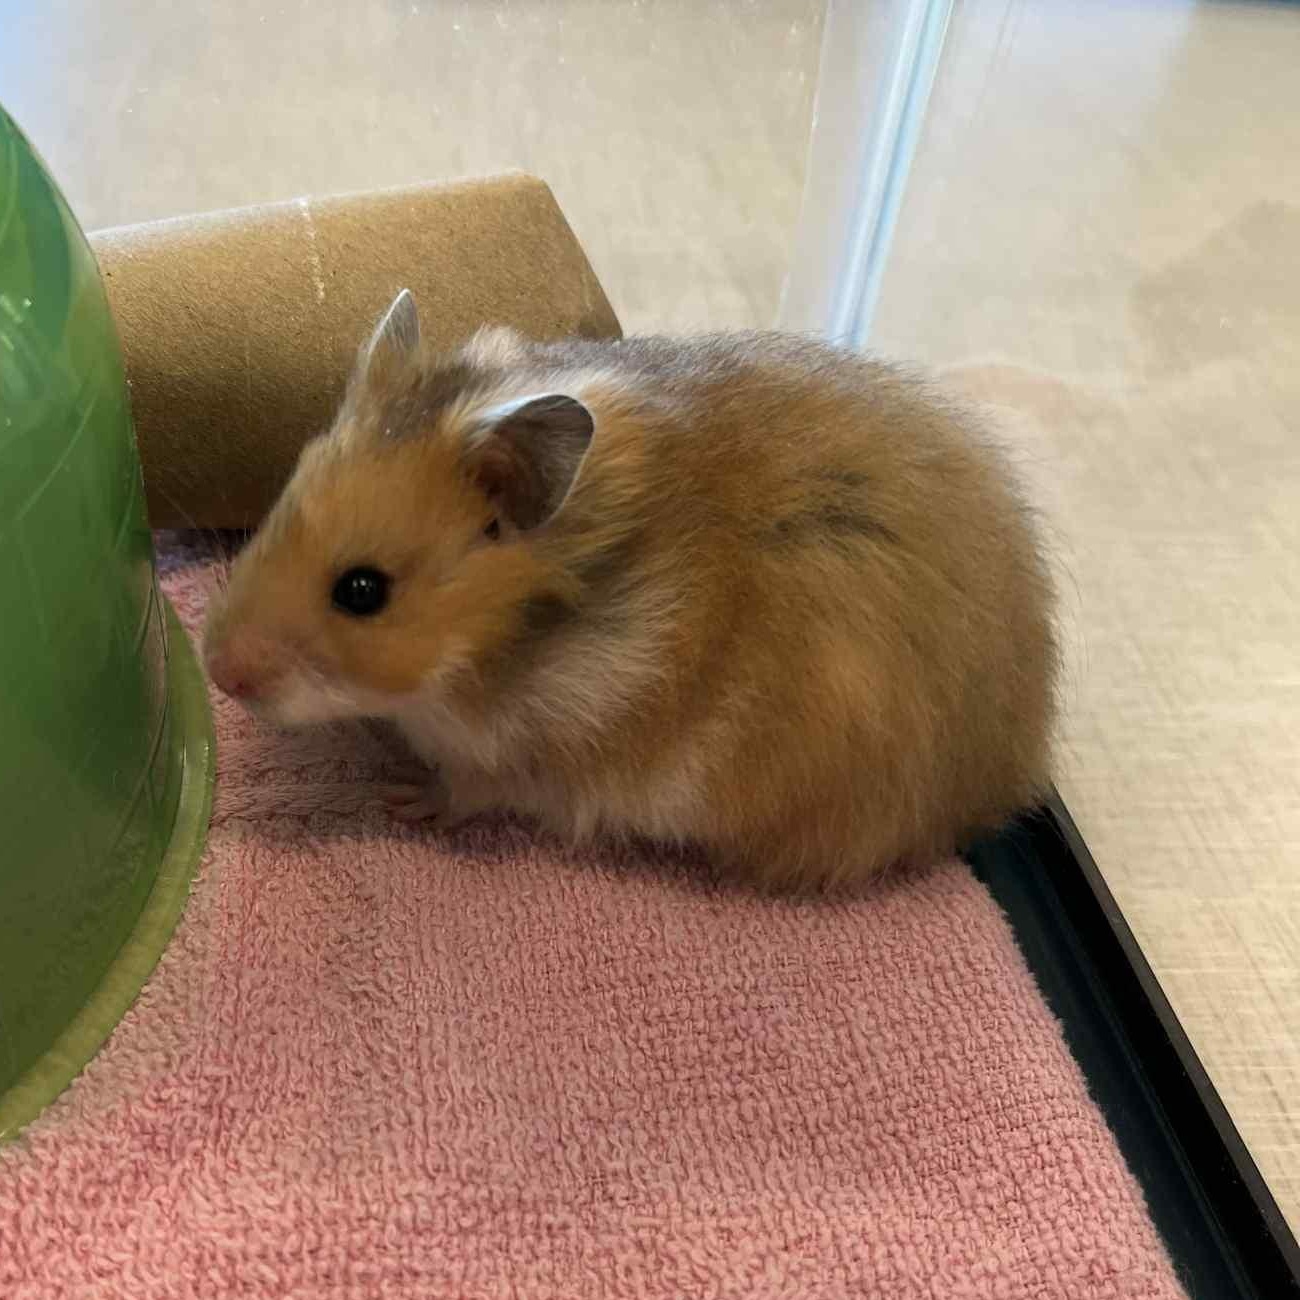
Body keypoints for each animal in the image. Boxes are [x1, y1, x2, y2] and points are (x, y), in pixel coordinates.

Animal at [203, 289, 1057, 889]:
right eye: (279, 503)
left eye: (362, 590)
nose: (217, 672)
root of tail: (1010, 781)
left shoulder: (535, 760)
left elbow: (468, 789)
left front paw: (403, 799)